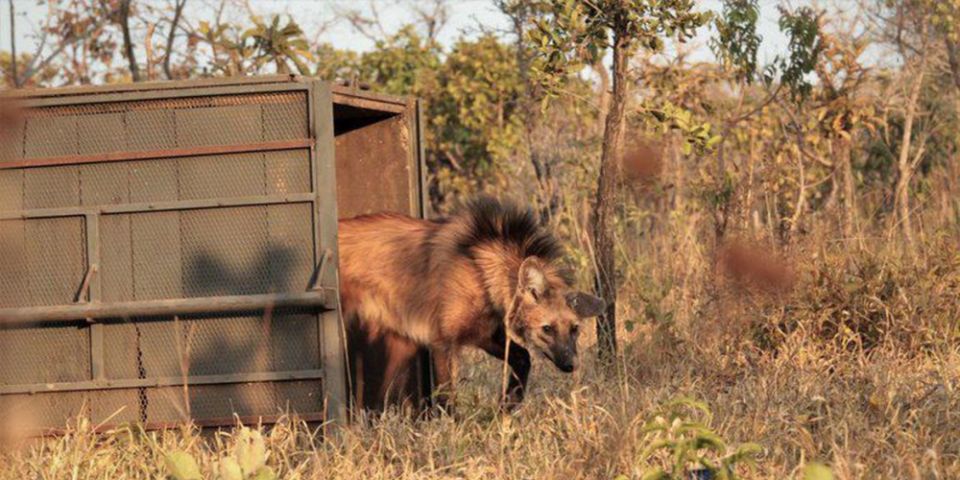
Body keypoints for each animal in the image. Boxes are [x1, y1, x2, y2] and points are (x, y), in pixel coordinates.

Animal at [342, 196, 604, 408]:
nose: (572, 364)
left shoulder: (483, 333)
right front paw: (451, 432)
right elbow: (446, 398)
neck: (481, 274)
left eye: (575, 329)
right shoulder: (442, 343)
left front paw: (507, 406)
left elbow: (523, 358)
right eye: (547, 329)